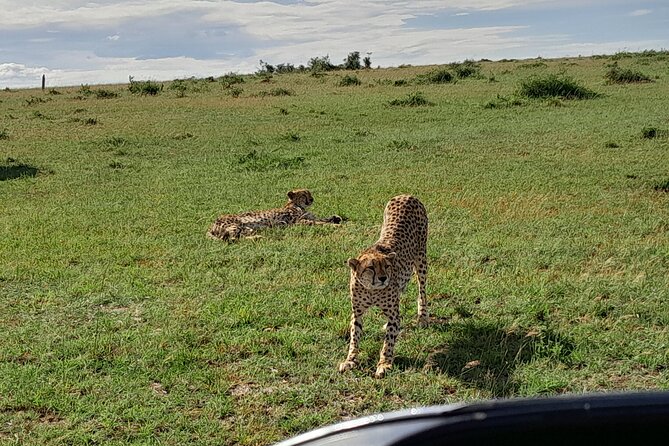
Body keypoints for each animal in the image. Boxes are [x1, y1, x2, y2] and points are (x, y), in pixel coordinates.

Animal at [207, 190, 342, 242]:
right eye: (304, 194)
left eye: (310, 193)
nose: (312, 199)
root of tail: (212, 224)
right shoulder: (297, 222)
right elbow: (319, 222)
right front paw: (335, 226)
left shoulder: (309, 217)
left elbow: (322, 219)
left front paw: (336, 218)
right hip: (236, 225)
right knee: (231, 239)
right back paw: (258, 238)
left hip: (247, 228)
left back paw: (258, 236)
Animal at [340, 193, 428, 378]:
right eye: (371, 267)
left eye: (386, 266)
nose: (382, 278)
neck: (372, 290)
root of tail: (406, 194)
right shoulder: (357, 313)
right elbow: (354, 337)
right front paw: (350, 360)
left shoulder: (393, 314)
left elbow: (389, 342)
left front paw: (385, 364)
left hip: (421, 259)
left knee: (422, 290)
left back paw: (423, 317)